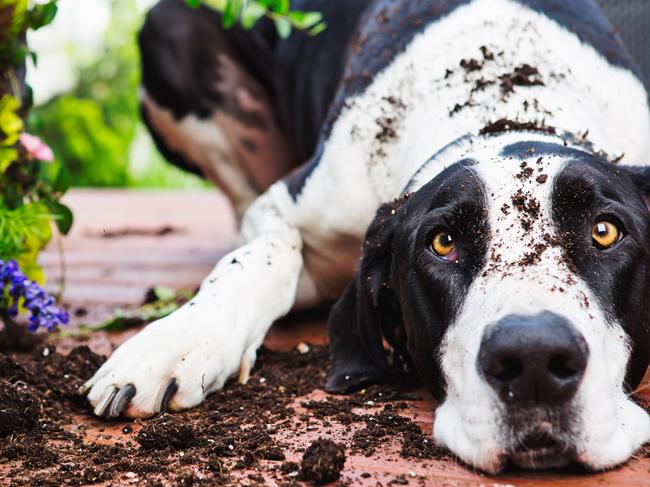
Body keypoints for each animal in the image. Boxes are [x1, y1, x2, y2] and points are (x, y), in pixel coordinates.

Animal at [79, 0, 648, 474]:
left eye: (604, 231)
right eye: (442, 243)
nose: (533, 361)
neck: (504, 104)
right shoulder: (288, 205)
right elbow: (262, 257)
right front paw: (176, 341)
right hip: (169, 29)